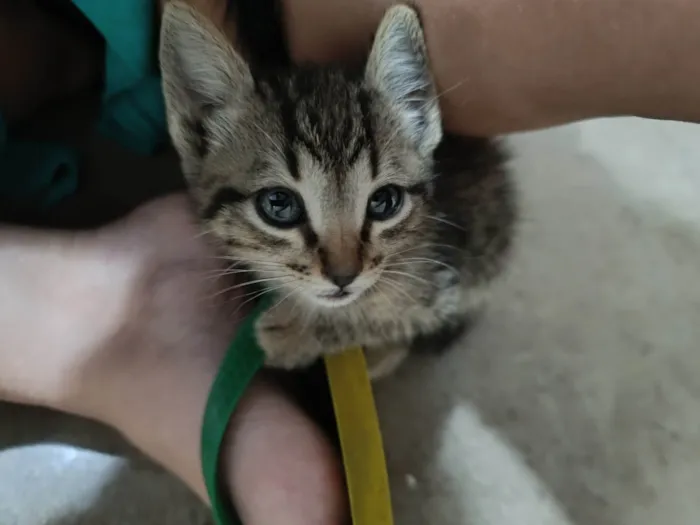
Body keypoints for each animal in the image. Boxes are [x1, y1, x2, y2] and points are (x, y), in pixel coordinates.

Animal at [161, 0, 516, 376]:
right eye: (279, 204)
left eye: (384, 202)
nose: (344, 277)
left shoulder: (457, 267)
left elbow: (403, 308)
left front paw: (297, 332)